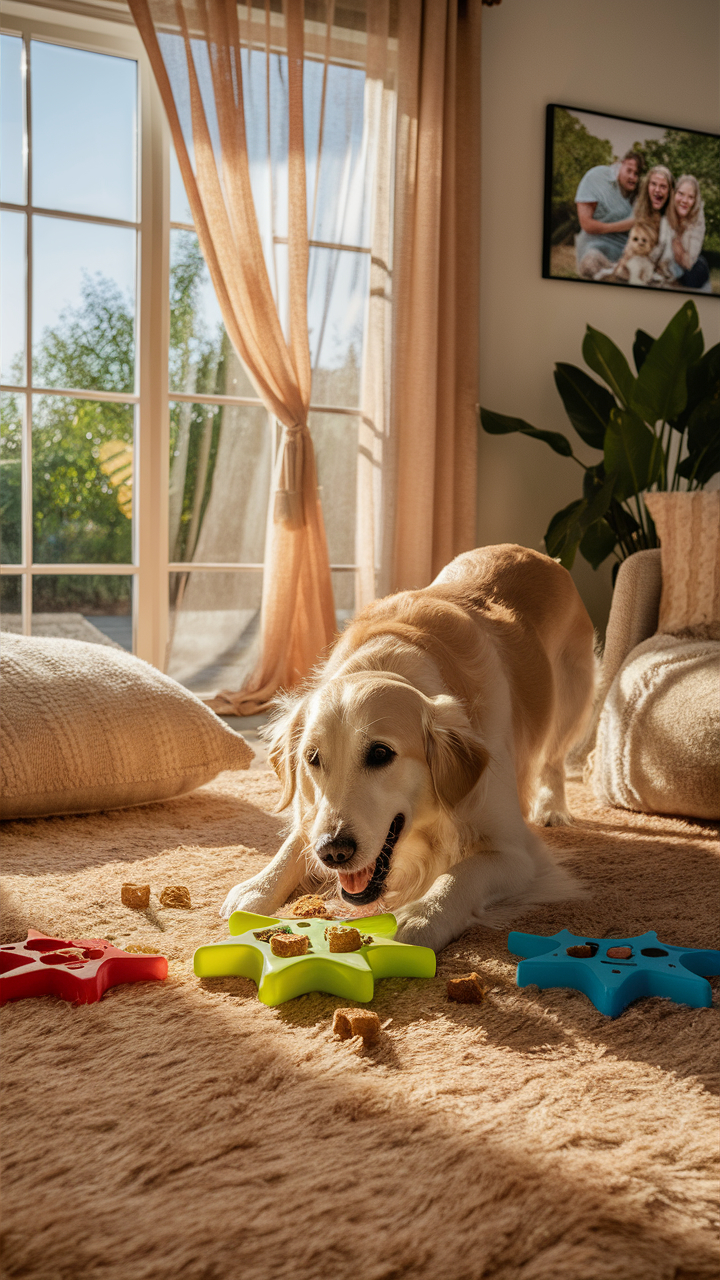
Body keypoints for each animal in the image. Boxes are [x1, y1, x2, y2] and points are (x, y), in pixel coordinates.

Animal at [220, 542, 594, 952]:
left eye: (381, 753)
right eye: (312, 758)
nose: (334, 851)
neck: (390, 659)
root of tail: (536, 553)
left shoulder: (515, 852)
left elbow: (460, 874)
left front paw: (421, 915)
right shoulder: (312, 815)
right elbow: (295, 841)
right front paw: (258, 886)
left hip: (571, 697)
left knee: (554, 757)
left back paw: (552, 806)